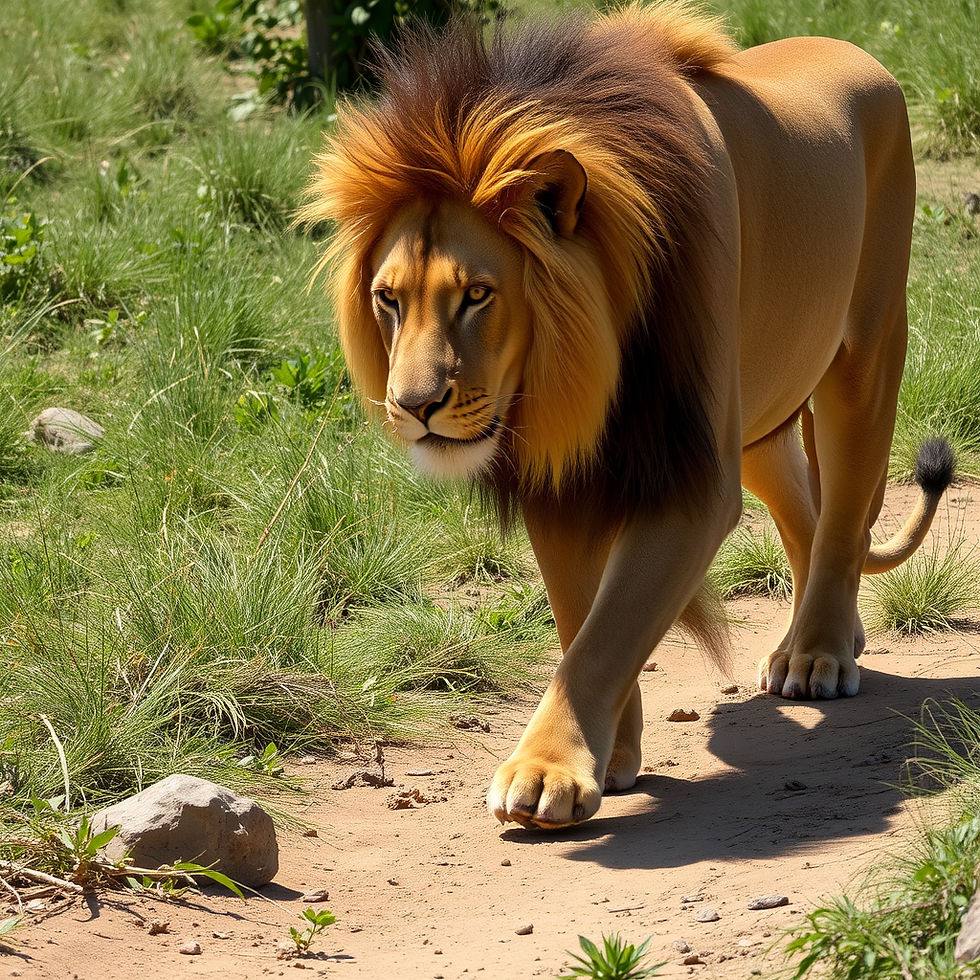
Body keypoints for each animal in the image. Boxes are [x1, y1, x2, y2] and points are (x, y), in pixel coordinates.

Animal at [300, 2, 954, 830]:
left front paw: (546, 771)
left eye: (477, 294)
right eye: (388, 299)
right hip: (757, 421)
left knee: (843, 516)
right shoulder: (560, 474)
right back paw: (814, 642)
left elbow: (612, 629)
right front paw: (609, 754)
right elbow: (583, 617)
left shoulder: (693, 480)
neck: (581, 372)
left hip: (864, 352)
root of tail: (855, 53)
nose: (414, 408)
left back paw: (820, 654)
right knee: (808, 516)